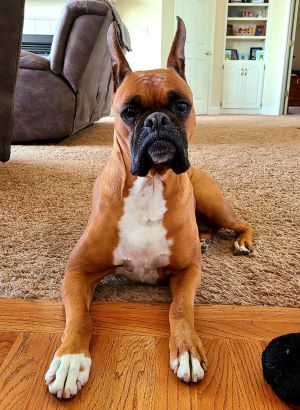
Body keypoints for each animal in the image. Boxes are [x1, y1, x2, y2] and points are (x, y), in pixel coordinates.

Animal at [44, 17, 253, 398]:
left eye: (182, 106)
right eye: (130, 111)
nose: (158, 120)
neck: (150, 185)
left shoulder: (188, 272)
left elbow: (180, 309)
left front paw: (187, 350)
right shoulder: (77, 272)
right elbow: (80, 317)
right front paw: (70, 359)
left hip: (214, 202)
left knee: (239, 222)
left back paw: (241, 241)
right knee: (209, 227)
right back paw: (204, 239)